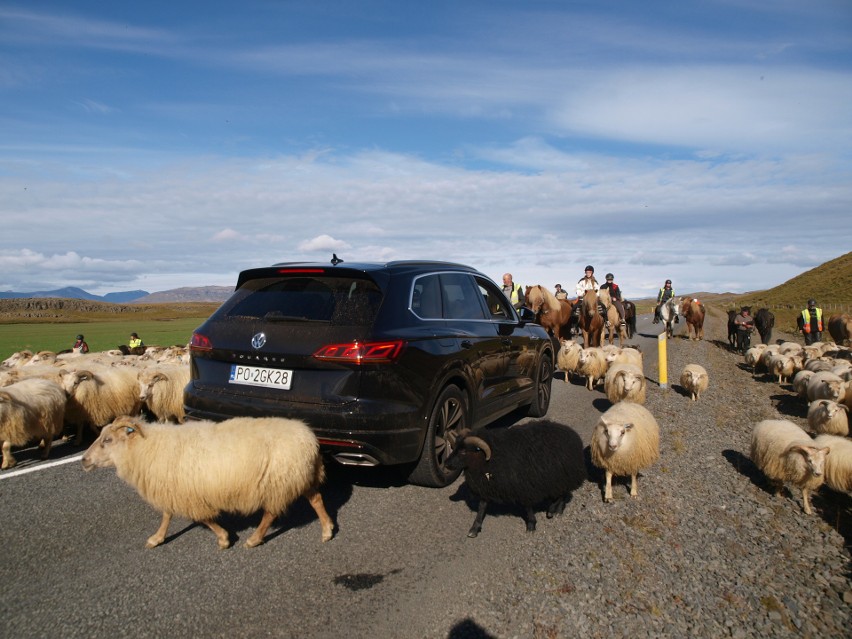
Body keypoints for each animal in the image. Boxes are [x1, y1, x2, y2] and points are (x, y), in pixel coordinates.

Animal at [82, 416, 336, 552]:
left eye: (107, 440)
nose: (84, 460)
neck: (147, 448)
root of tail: (310, 439)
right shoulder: (175, 488)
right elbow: (167, 515)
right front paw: (157, 538)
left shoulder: (185, 493)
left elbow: (201, 517)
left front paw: (223, 539)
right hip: (298, 477)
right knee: (316, 499)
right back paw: (327, 529)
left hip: (277, 481)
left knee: (271, 513)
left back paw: (254, 539)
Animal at [446, 420, 584, 540]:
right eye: (455, 447)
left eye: (463, 451)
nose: (446, 463)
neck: (491, 458)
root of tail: (571, 433)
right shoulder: (488, 486)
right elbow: (482, 507)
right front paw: (474, 528)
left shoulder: (524, 485)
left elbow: (527, 507)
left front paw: (531, 525)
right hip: (559, 476)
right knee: (562, 492)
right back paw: (557, 509)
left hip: (564, 474)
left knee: (562, 493)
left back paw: (553, 510)